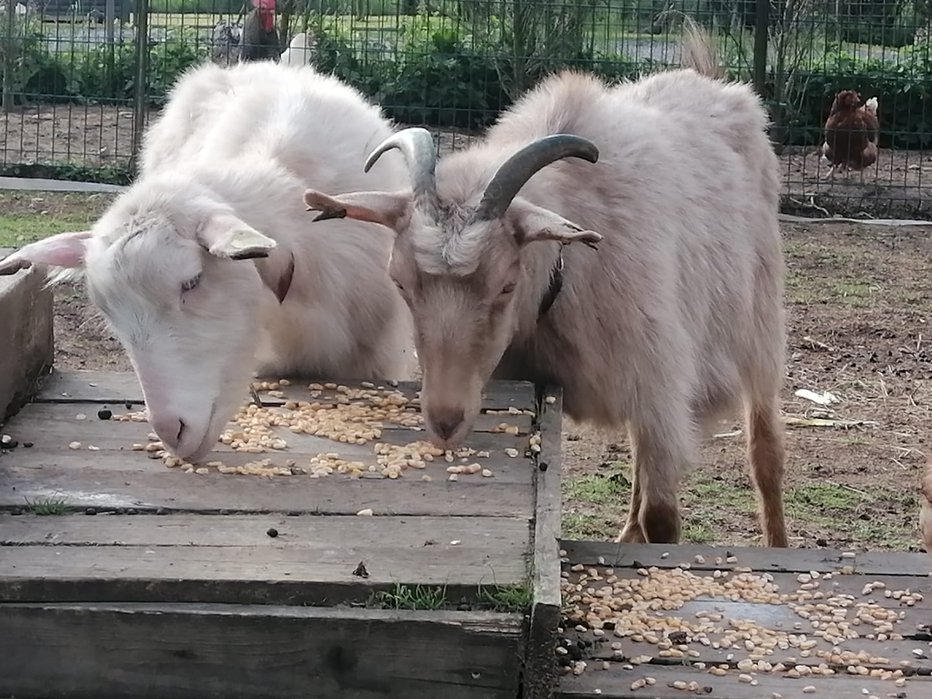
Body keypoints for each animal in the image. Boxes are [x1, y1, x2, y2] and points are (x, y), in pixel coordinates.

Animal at [304, 26, 788, 548]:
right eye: (401, 283)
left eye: (505, 285)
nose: (445, 421)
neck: (565, 275)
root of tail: (715, 83)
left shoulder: (659, 386)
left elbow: (661, 519)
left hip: (760, 325)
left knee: (764, 452)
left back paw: (777, 542)